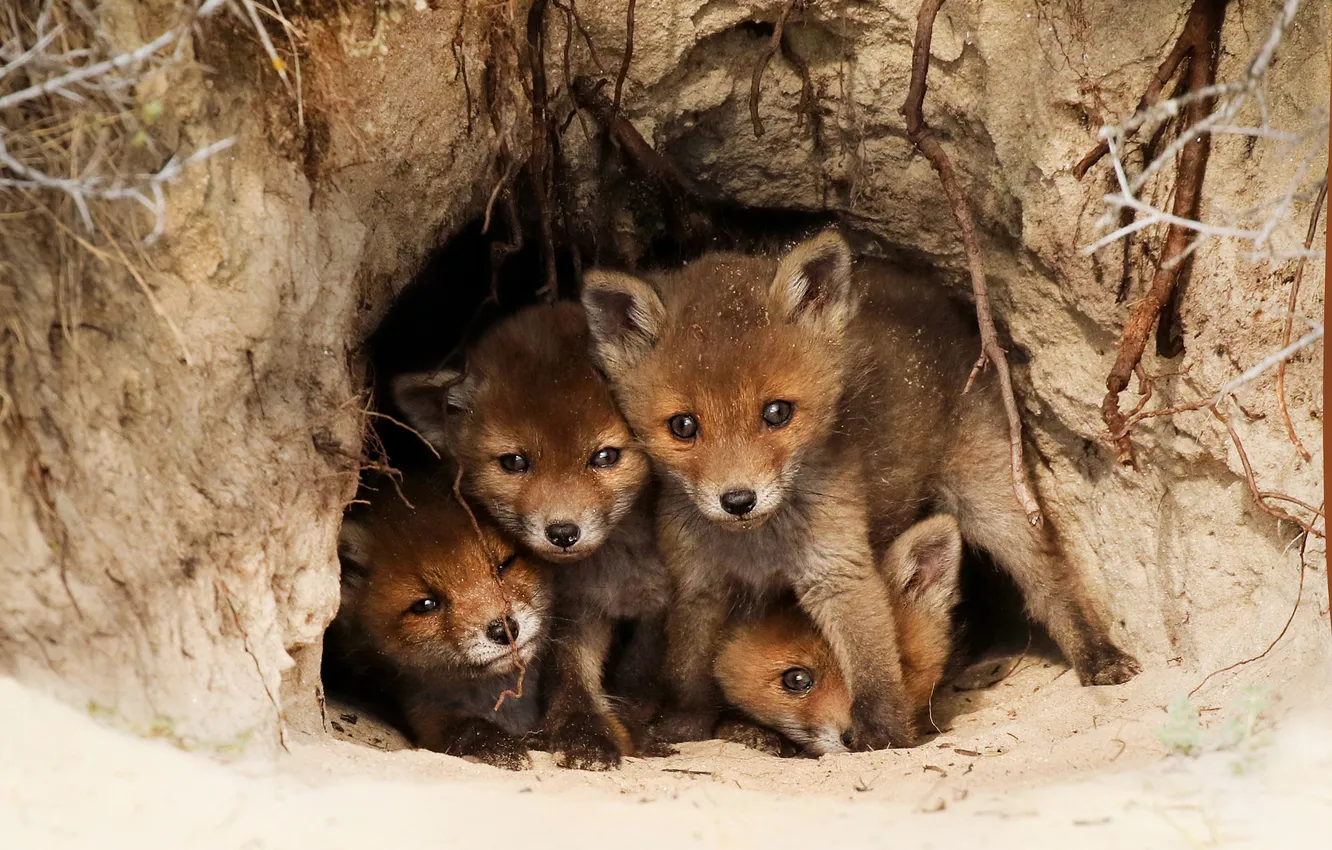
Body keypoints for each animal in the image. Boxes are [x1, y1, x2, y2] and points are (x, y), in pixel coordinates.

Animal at [325, 469, 550, 770]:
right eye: (425, 605)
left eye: (503, 565)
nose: (504, 629)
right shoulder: (425, 711)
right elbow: (463, 727)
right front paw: (497, 746)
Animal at [392, 301, 670, 770]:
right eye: (514, 462)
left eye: (605, 456)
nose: (563, 532)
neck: (620, 566)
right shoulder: (575, 609)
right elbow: (573, 678)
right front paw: (583, 733)